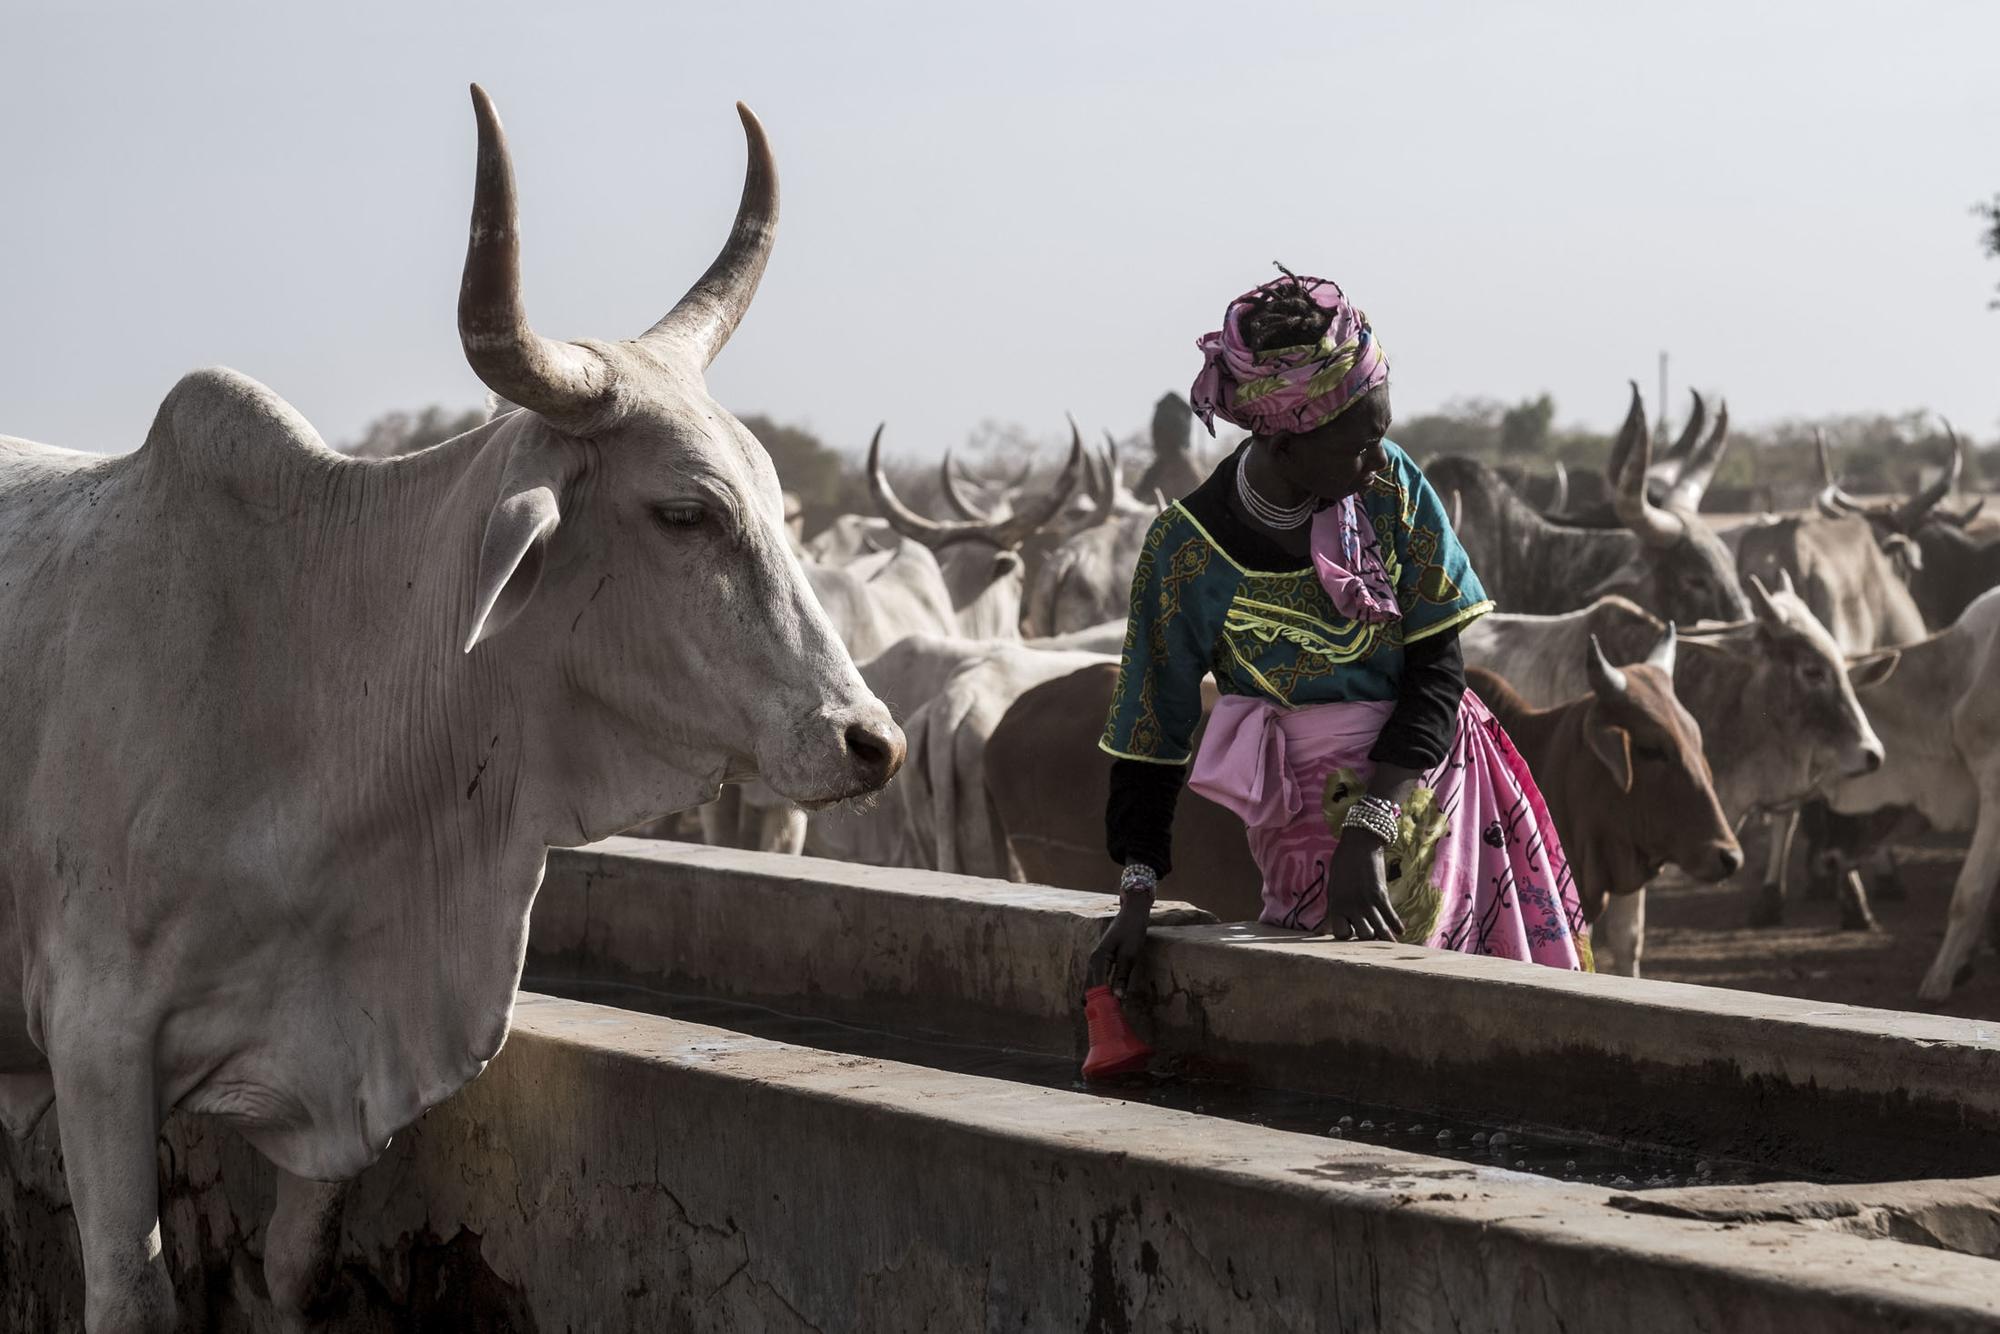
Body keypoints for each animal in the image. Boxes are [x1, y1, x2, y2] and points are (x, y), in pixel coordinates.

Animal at [0, 86, 908, 1334]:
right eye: (683, 511)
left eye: (780, 499)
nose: (871, 740)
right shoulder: (96, 1045)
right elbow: (133, 1292)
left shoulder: (338, 1081)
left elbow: (295, 1267)